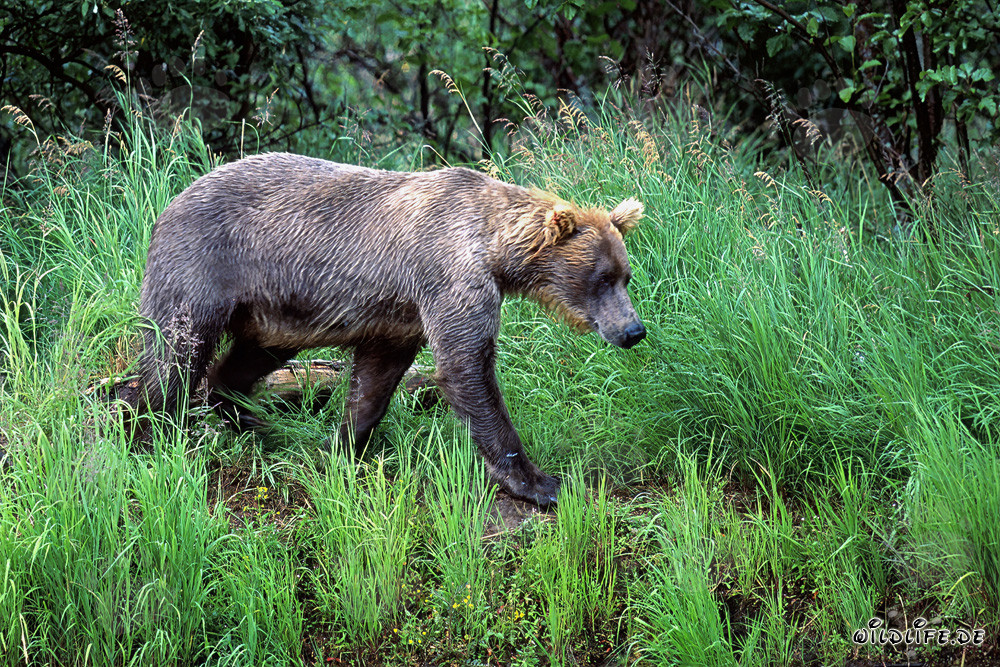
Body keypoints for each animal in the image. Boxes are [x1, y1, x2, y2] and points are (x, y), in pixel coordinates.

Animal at [129, 152, 645, 507]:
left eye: (625, 275)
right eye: (602, 278)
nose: (633, 329)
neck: (494, 250)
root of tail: (170, 203)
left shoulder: (401, 314)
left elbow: (376, 378)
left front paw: (343, 446)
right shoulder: (447, 276)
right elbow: (468, 367)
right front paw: (541, 483)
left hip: (273, 313)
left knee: (247, 357)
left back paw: (251, 419)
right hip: (203, 266)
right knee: (175, 353)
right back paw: (149, 431)